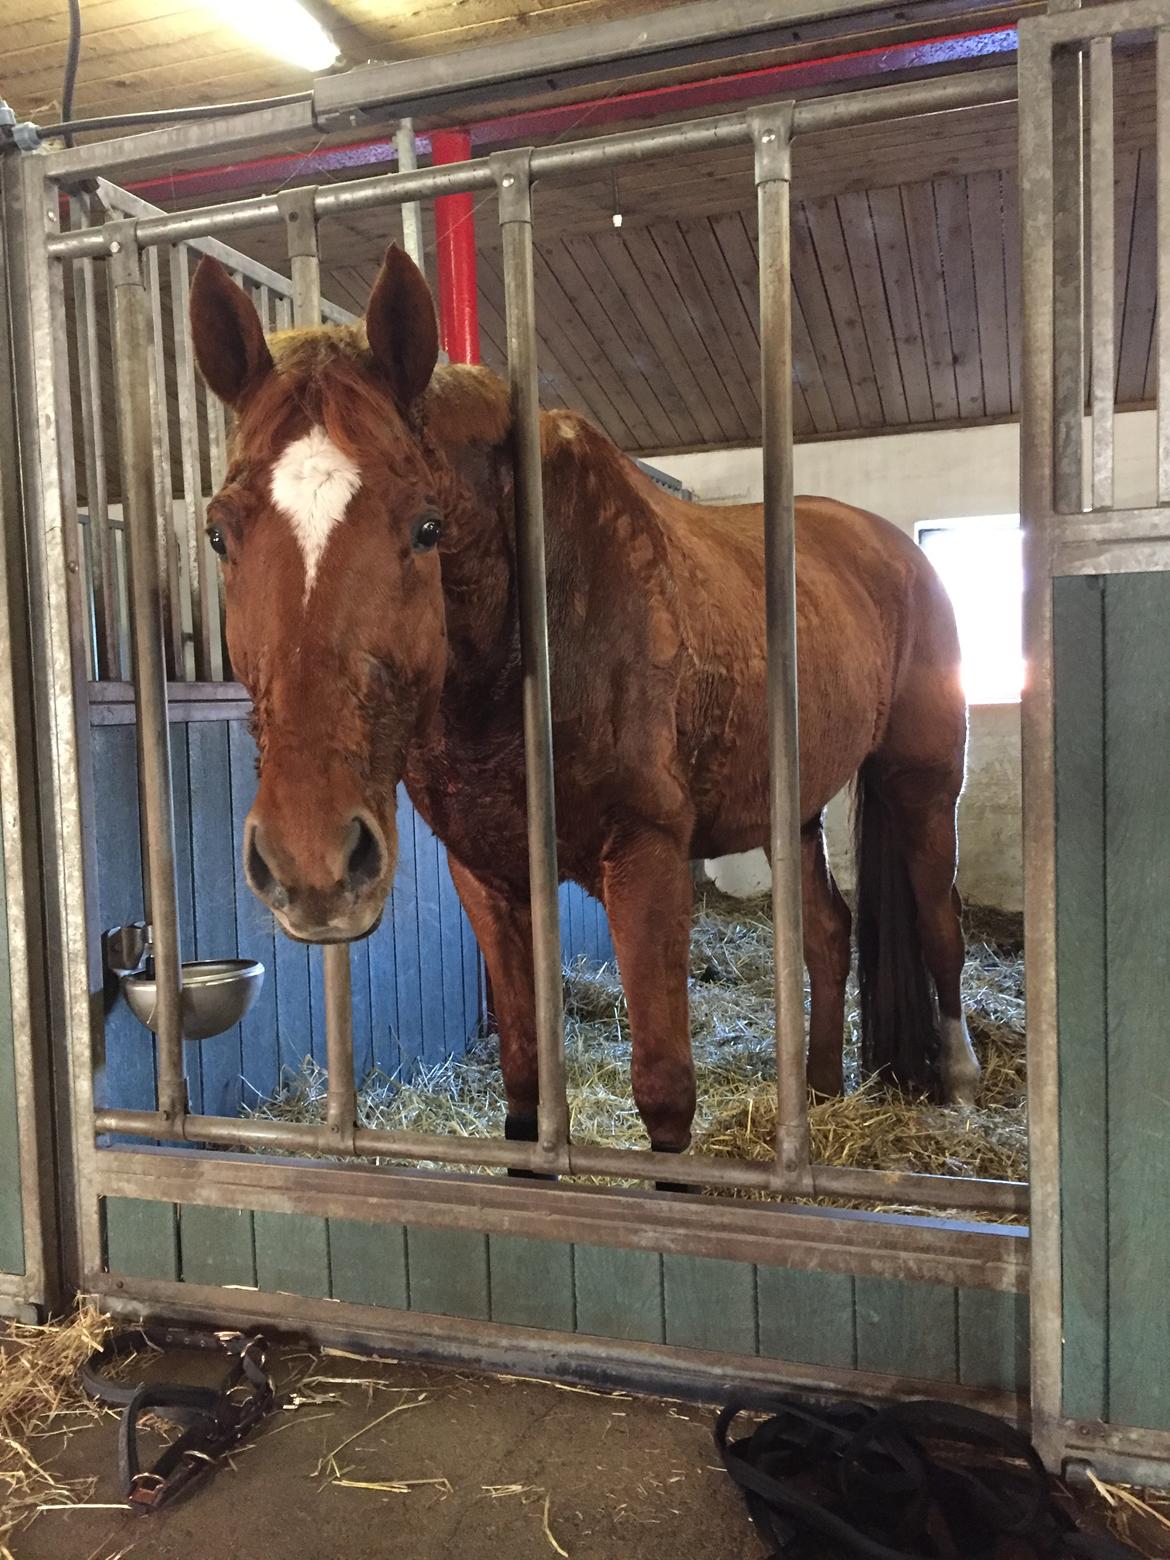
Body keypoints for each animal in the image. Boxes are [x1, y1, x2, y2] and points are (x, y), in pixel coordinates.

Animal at [190, 233, 979, 1160]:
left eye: (426, 527)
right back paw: (818, 1094)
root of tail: (890, 547)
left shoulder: (647, 863)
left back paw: (961, 1085)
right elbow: (526, 1089)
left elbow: (666, 1092)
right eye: (219, 533)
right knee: (827, 934)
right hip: (793, 805)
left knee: (941, 925)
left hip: (922, 784)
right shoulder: (489, 879)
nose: (311, 865)